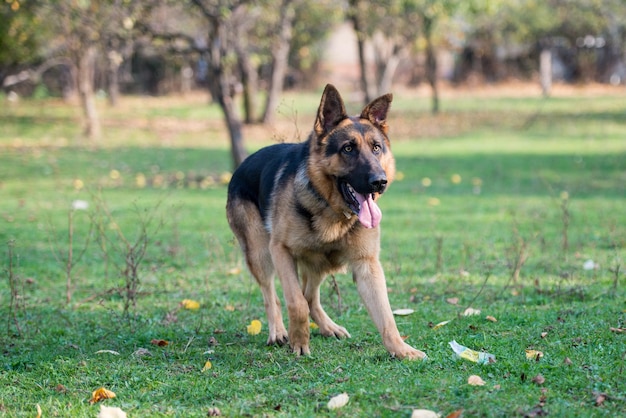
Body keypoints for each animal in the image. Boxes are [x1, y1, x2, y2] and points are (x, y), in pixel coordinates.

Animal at [224, 84, 424, 360]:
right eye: (348, 148)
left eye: (376, 148)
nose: (379, 181)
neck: (331, 211)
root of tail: (242, 164)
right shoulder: (281, 251)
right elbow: (295, 302)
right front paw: (299, 343)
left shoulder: (367, 265)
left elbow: (386, 316)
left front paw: (402, 350)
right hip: (261, 254)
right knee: (272, 295)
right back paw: (278, 332)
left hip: (321, 261)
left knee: (310, 296)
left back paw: (329, 327)